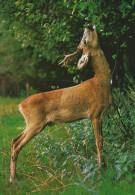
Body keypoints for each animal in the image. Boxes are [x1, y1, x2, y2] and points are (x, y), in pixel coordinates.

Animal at [9, 24, 112, 183]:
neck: (101, 83)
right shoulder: (95, 113)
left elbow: (102, 140)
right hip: (35, 123)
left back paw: (14, 176)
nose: (88, 25)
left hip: (32, 123)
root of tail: (20, 105)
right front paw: (101, 169)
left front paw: (103, 166)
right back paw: (13, 179)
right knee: (17, 144)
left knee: (14, 140)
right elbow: (99, 142)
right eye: (84, 40)